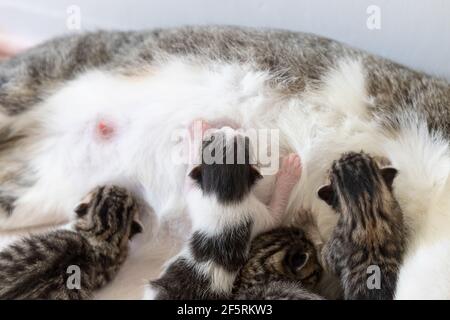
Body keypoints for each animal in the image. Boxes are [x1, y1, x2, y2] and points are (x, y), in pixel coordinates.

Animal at [316, 151, 404, 298]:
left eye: (333, 165)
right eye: (364, 154)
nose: (346, 153)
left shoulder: (333, 249)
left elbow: (322, 257)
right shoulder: (396, 212)